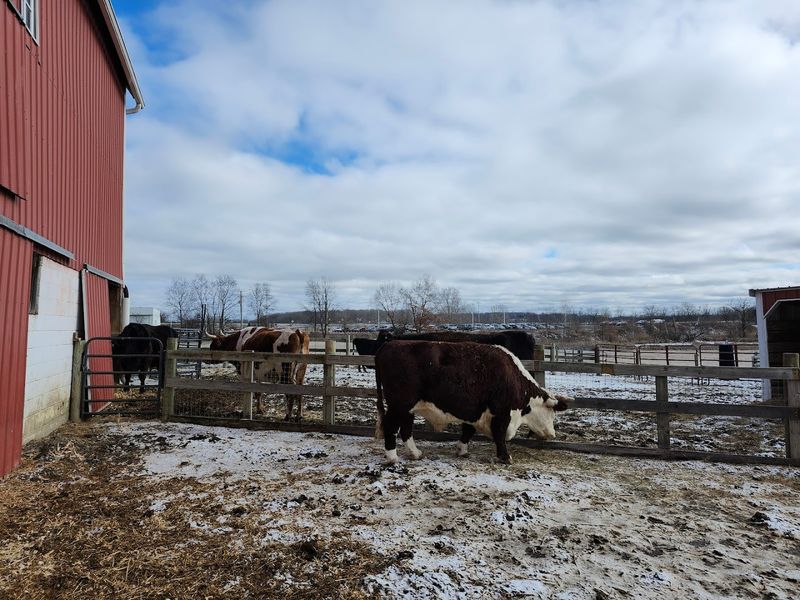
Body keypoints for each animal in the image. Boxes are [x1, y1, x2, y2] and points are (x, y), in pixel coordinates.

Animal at [374, 340, 571, 465]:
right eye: (551, 414)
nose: (553, 434)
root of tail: (390, 344)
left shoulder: (475, 411)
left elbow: (468, 430)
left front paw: (462, 450)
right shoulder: (501, 413)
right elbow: (499, 435)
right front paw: (505, 457)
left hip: (407, 409)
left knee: (406, 429)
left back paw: (415, 453)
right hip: (399, 405)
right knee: (391, 426)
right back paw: (392, 457)